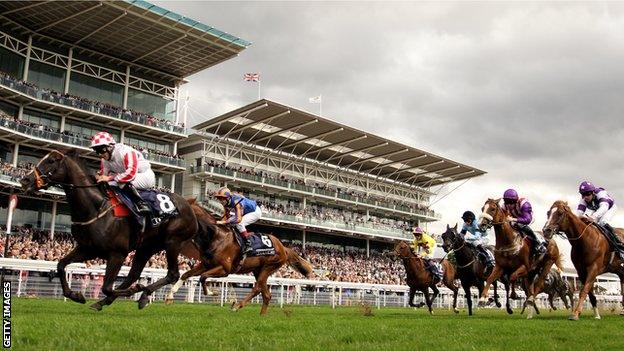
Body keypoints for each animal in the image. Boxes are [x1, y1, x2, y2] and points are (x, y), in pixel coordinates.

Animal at [20, 150, 197, 310]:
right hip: (147, 247)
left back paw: (143, 293)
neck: (96, 207)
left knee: (172, 274)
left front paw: (136, 289)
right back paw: (116, 300)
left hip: (173, 242)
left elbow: (107, 287)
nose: (25, 180)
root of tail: (189, 206)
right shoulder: (88, 249)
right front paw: (75, 295)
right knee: (133, 275)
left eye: (51, 161)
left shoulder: (117, 254)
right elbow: (61, 265)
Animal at [166, 201, 314, 316]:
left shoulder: (224, 269)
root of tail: (283, 247)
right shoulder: (206, 264)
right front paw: (170, 296)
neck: (214, 236)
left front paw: (214, 293)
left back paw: (237, 306)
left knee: (257, 288)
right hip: (258, 270)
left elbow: (203, 277)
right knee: (266, 294)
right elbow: (186, 274)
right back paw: (262, 315)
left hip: (269, 266)